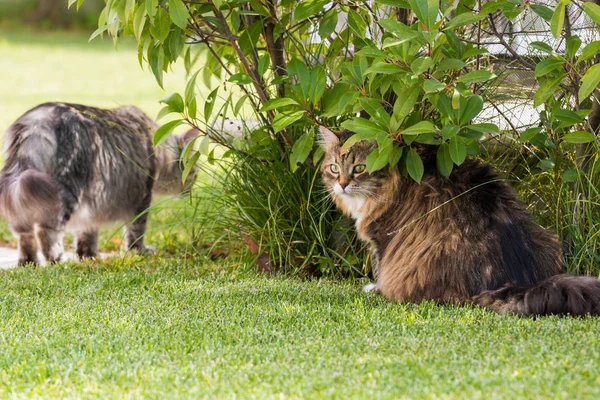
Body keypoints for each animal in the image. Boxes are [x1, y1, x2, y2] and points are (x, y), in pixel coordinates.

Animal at [0, 102, 197, 266]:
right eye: (194, 173)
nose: (191, 191)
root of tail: (37, 120)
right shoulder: (142, 198)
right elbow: (135, 232)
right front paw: (140, 251)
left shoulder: (91, 204)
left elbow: (87, 235)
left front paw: (89, 256)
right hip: (66, 189)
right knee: (46, 229)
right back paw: (56, 258)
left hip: (26, 196)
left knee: (24, 235)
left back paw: (29, 262)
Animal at [322, 127, 600, 316]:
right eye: (334, 168)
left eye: (359, 168)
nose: (342, 184)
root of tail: (512, 282)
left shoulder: (383, 239)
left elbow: (380, 269)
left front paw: (375, 288)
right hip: (548, 237)